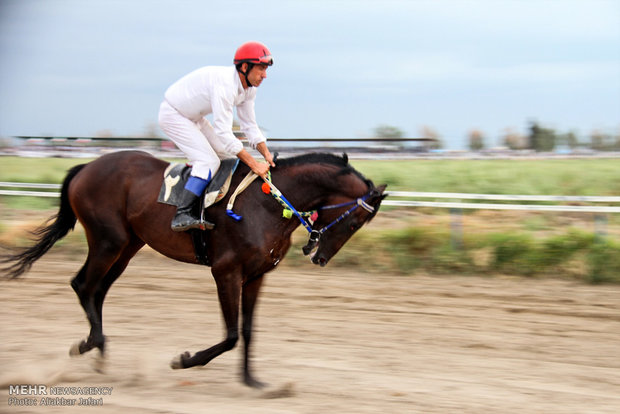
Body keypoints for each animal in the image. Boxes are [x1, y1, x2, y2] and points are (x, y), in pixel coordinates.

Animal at [1, 151, 388, 388]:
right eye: (356, 222)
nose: (318, 256)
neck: (266, 203)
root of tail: (86, 167)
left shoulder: (256, 276)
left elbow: (248, 331)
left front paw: (252, 381)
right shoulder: (226, 271)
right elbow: (231, 335)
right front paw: (184, 361)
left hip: (128, 247)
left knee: (97, 289)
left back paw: (98, 352)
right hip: (108, 240)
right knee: (83, 284)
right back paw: (91, 344)